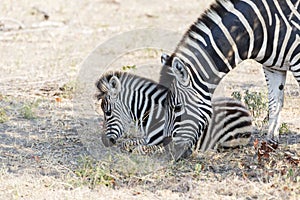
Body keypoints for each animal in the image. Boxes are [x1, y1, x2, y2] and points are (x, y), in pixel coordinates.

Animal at [95, 71, 252, 154]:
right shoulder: (148, 138)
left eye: (108, 112)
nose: (104, 141)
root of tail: (244, 109)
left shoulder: (163, 142)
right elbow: (127, 144)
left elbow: (139, 149)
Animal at [161, 0, 298, 159]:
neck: (259, 27)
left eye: (177, 108)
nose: (168, 152)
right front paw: (269, 146)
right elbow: (274, 103)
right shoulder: (273, 67)